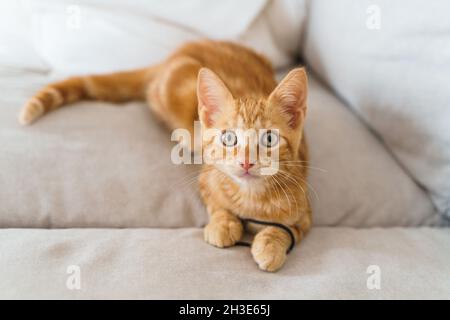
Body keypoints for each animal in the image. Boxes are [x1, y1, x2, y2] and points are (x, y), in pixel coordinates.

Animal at [18, 39, 312, 270]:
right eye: (229, 138)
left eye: (269, 139)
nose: (247, 162)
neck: (251, 198)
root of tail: (174, 54)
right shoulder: (207, 179)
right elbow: (217, 206)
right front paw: (223, 224)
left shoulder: (305, 211)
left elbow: (287, 230)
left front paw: (270, 244)